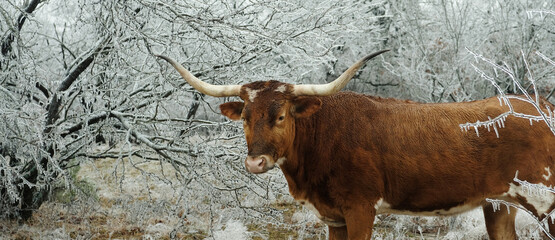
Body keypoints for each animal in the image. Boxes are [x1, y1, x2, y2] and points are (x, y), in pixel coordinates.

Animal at [155, 51, 555, 240]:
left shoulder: (361, 208)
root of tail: (541, 106)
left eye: (281, 115)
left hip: (544, 202)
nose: (255, 163)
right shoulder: (333, 215)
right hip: (499, 204)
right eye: (245, 118)